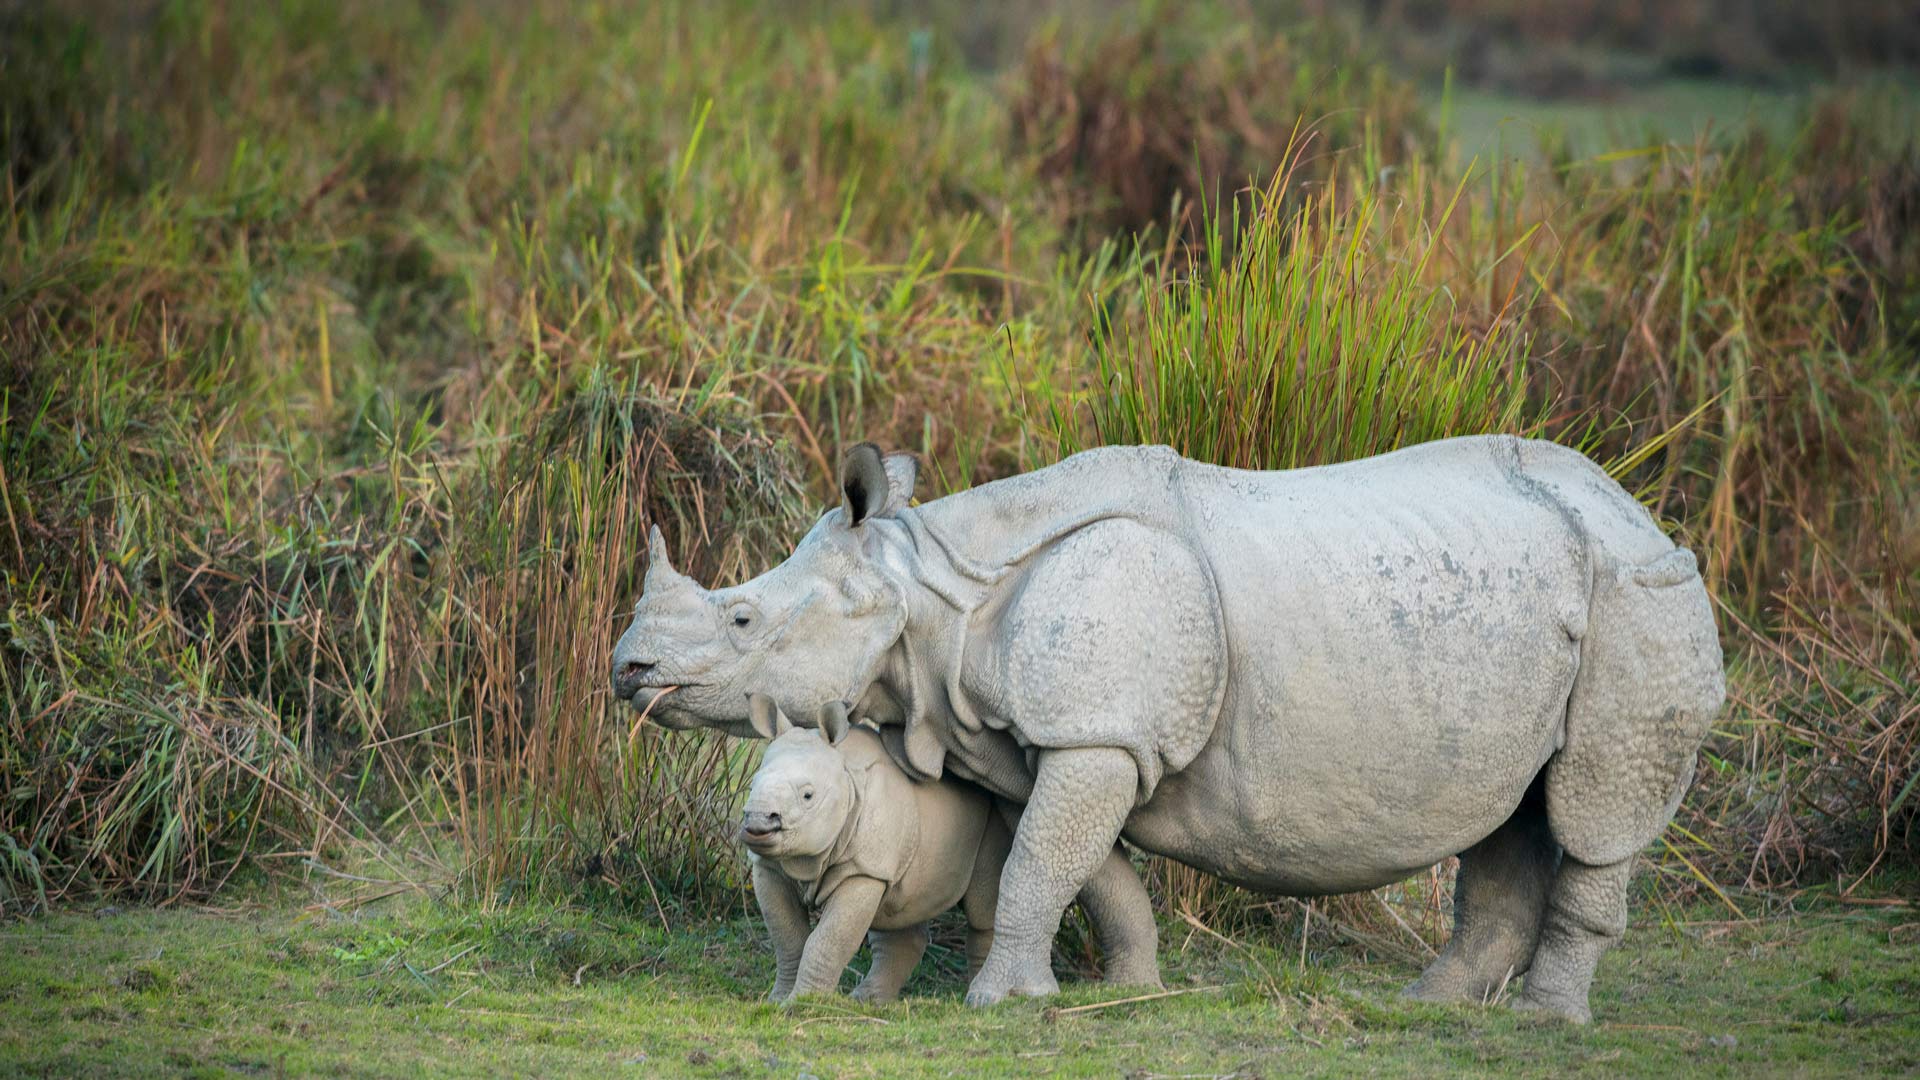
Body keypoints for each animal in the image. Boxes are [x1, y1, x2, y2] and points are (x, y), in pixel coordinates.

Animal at [733, 691, 1013, 999]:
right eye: (752, 786)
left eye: (808, 796)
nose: (758, 822)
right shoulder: (770, 866)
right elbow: (788, 938)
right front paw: (778, 999)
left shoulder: (863, 870)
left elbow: (826, 940)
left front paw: (803, 1002)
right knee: (897, 908)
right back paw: (868, 1000)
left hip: (994, 816)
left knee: (981, 909)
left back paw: (978, 994)